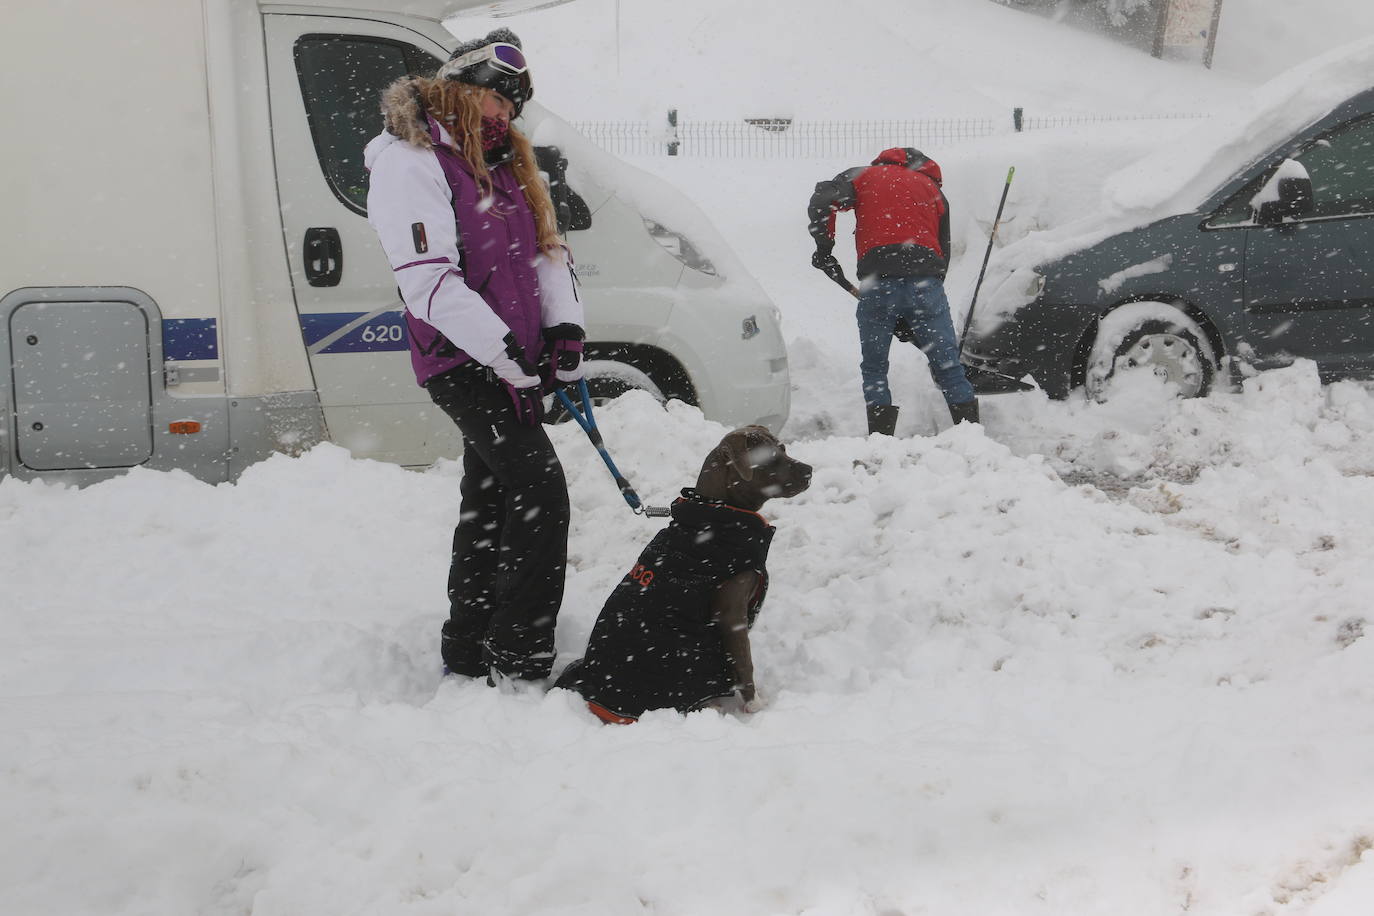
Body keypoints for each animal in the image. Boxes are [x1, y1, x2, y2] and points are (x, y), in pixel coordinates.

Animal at [552, 425, 807, 719]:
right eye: (769, 458)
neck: (716, 508)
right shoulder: (732, 614)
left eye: (784, 449)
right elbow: (745, 662)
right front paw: (755, 706)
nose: (809, 470)